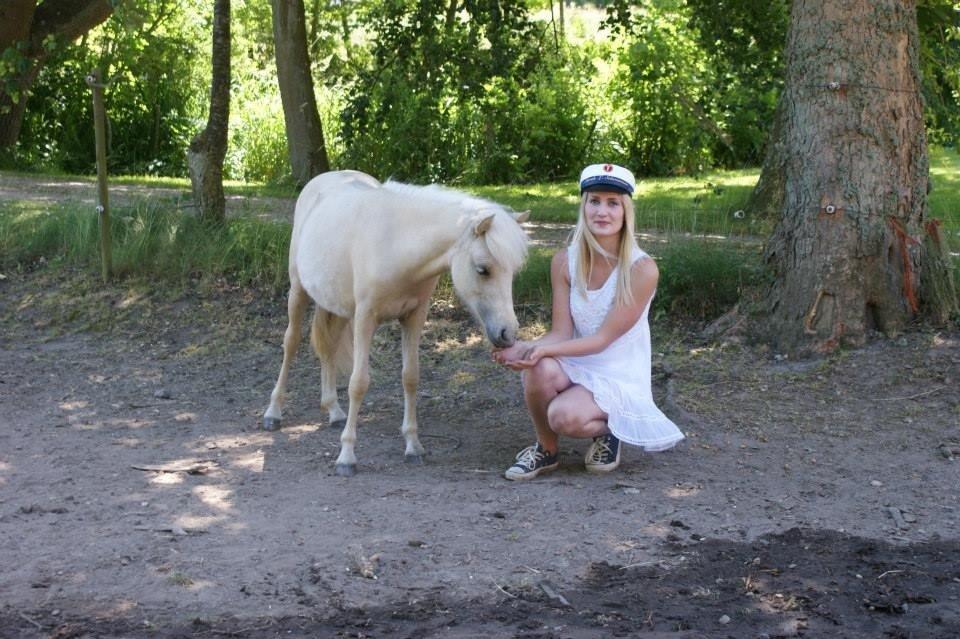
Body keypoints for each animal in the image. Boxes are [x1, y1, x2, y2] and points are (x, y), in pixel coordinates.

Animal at [263, 170, 529, 476]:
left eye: (513, 271)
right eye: (482, 269)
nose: (507, 333)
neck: (396, 244)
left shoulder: (413, 318)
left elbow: (410, 377)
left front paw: (413, 446)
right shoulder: (365, 318)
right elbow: (358, 383)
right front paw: (347, 456)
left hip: (339, 308)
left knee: (328, 347)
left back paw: (334, 411)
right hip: (298, 292)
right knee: (291, 343)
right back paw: (273, 413)